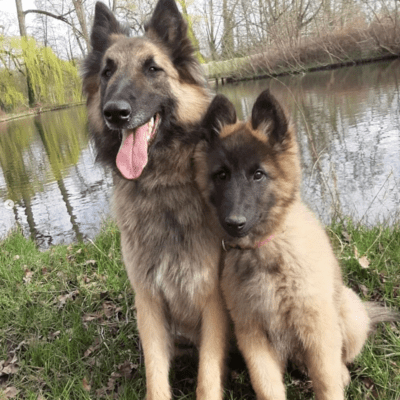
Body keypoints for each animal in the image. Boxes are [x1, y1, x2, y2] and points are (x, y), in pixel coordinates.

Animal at [83, 1, 227, 398]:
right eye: (107, 72)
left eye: (152, 68)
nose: (115, 112)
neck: (161, 186)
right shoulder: (147, 302)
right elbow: (155, 373)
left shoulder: (211, 301)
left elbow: (208, 377)